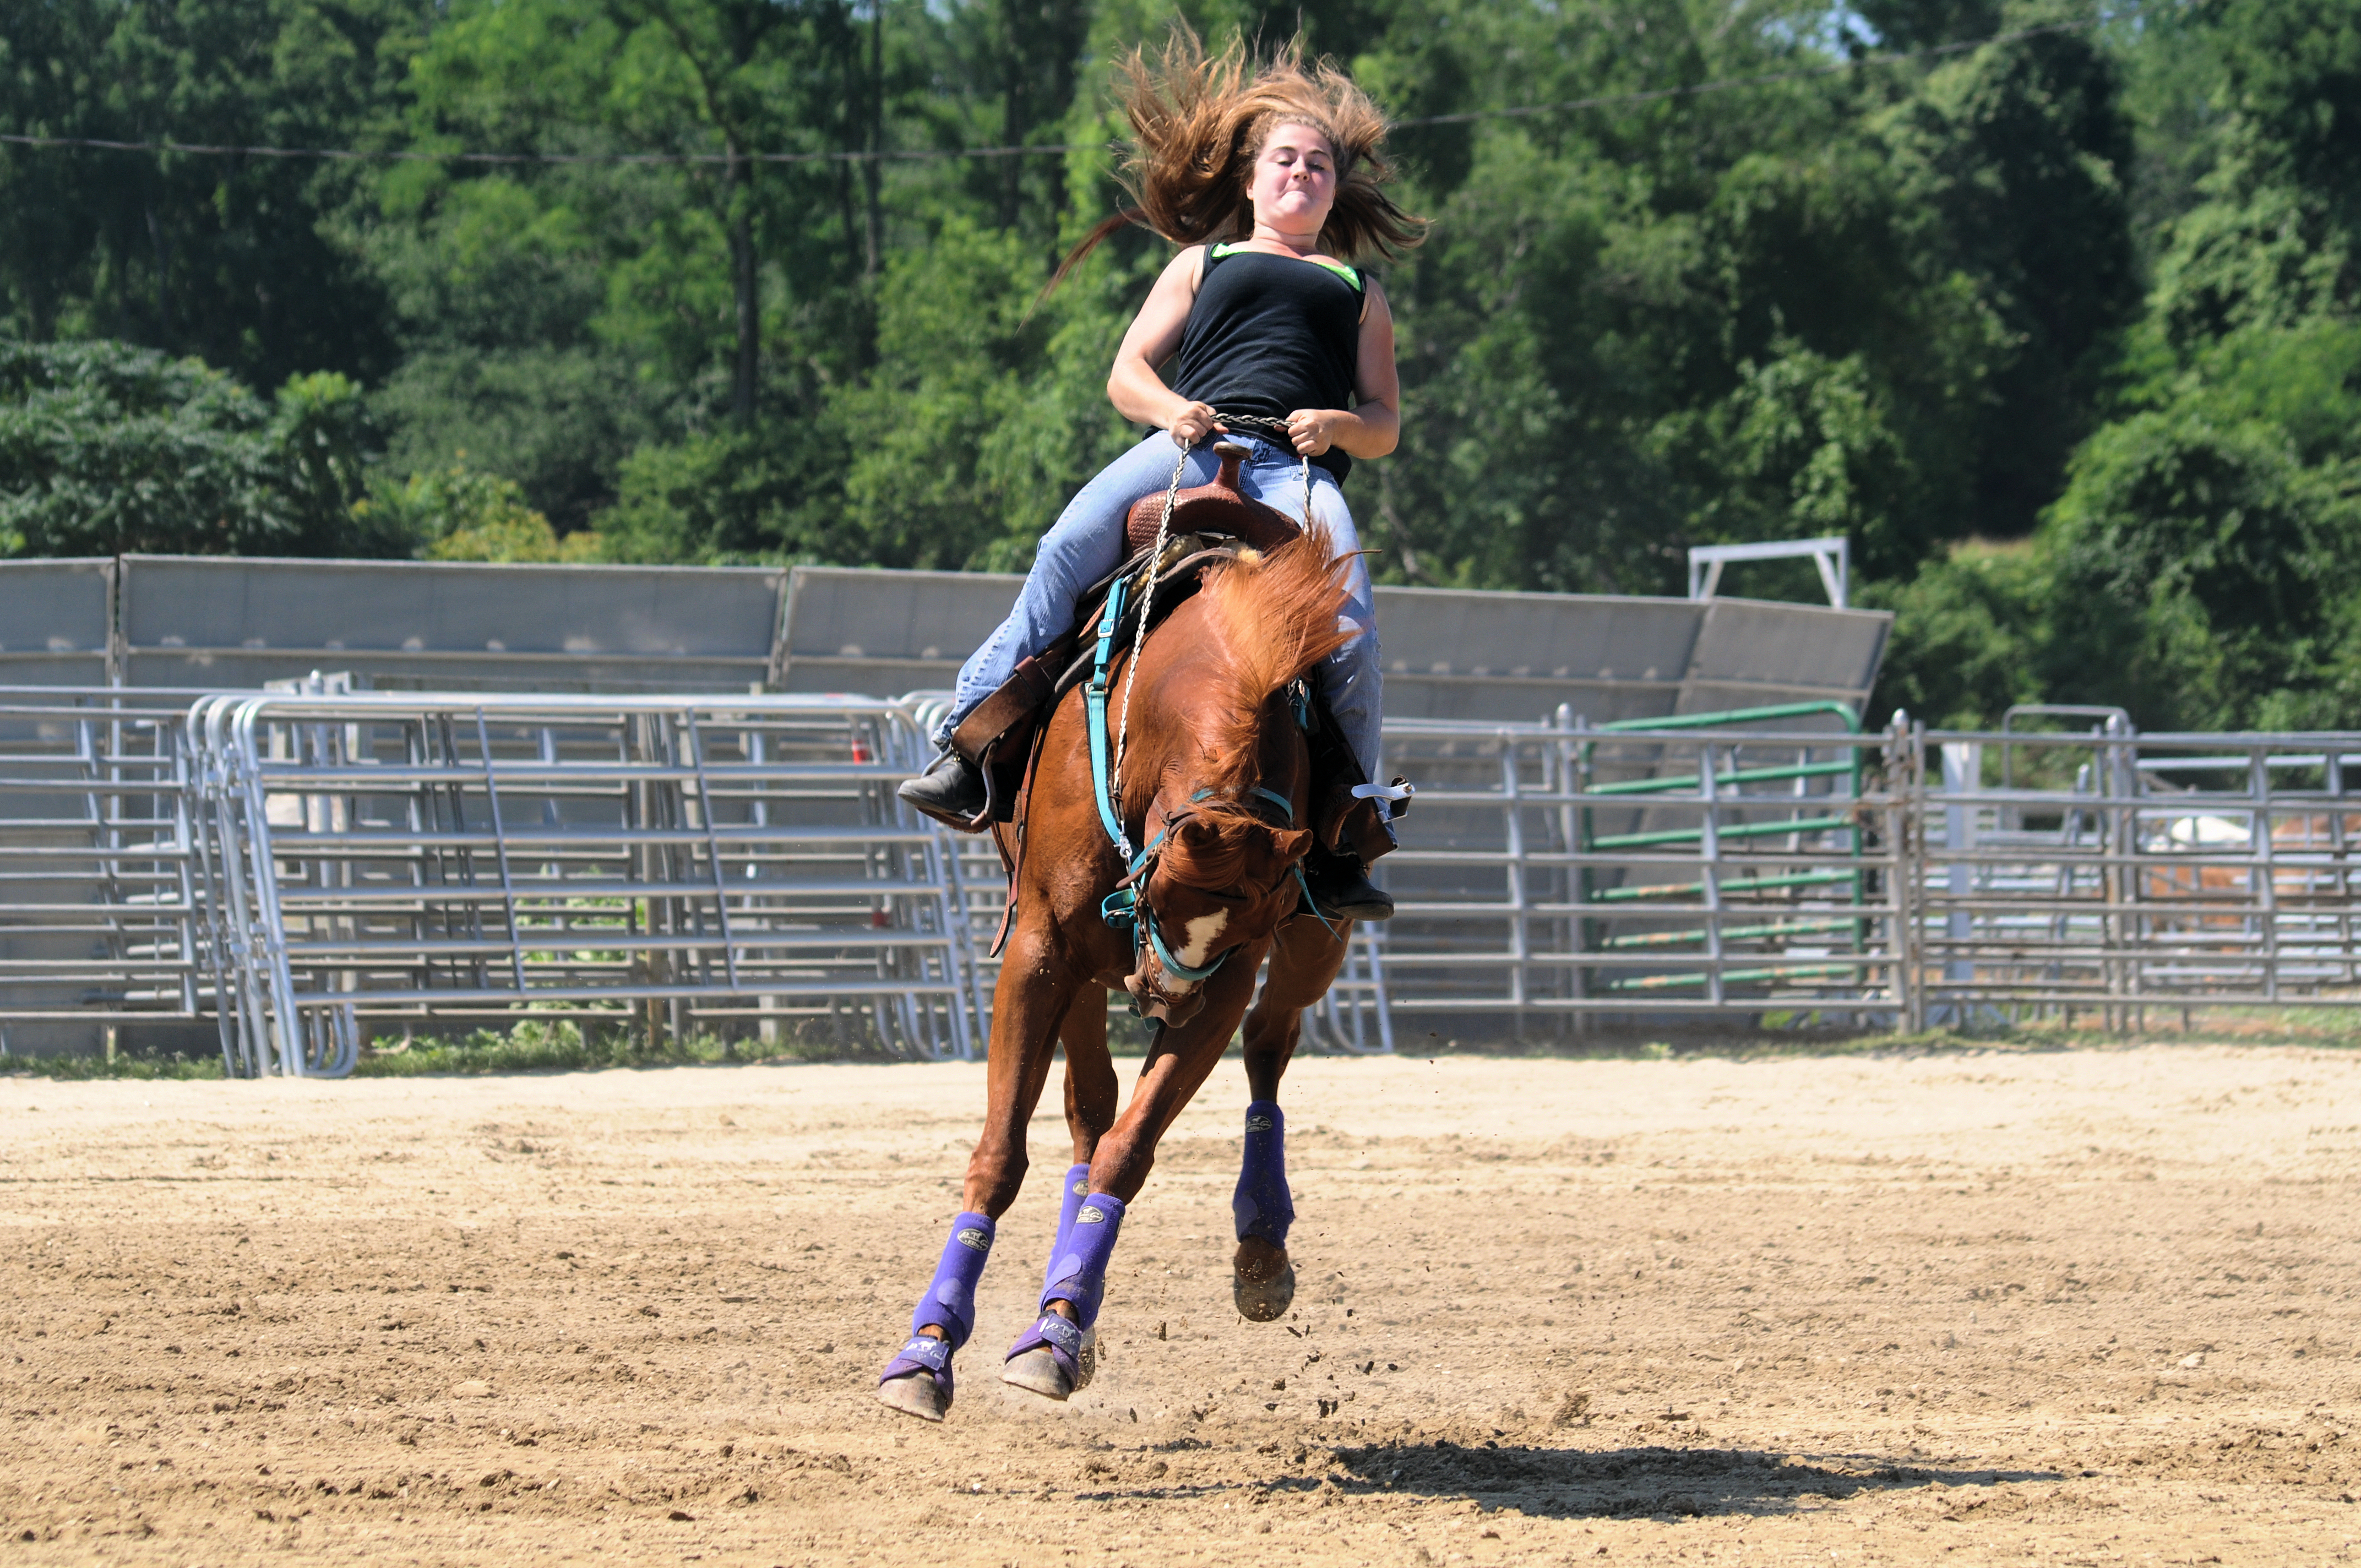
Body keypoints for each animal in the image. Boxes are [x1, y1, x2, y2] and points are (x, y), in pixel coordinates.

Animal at [873, 536, 1359, 1417]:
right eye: (1160, 896)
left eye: (1244, 926)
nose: (1166, 1000)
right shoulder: (1040, 949)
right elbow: (1004, 1155)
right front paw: (928, 1351)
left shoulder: (1233, 973)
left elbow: (1128, 1152)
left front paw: (1055, 1335)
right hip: (1081, 967)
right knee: (1090, 1104)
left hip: (1317, 941)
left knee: (1268, 1043)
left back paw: (1259, 1247)